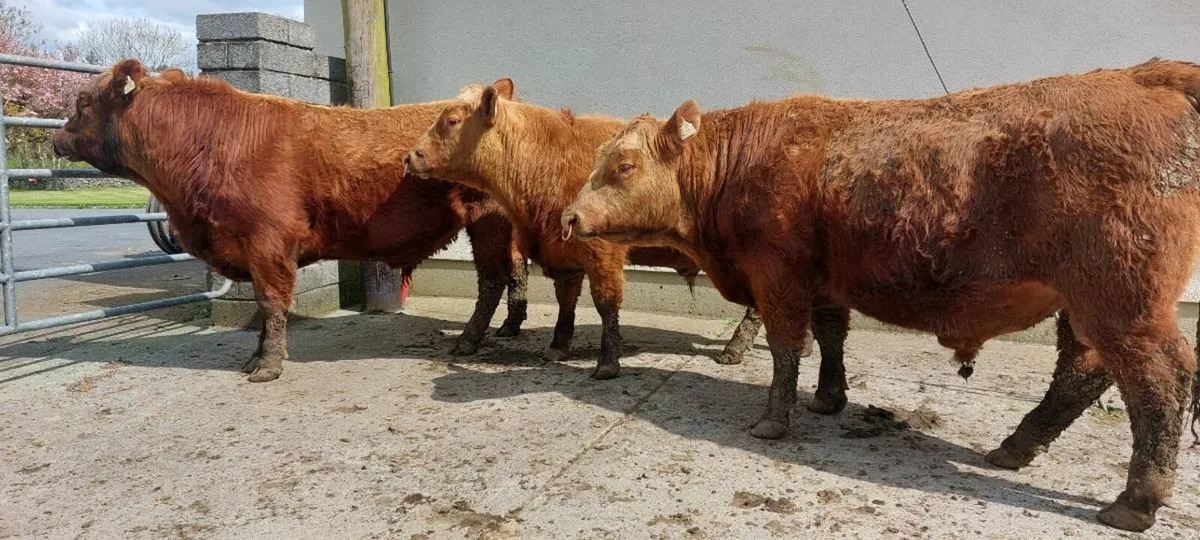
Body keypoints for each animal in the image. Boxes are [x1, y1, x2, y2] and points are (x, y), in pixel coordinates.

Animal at [51, 59, 529, 382]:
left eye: (82, 101)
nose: (56, 139)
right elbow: (265, 310)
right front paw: (255, 357)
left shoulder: (267, 243)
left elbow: (271, 303)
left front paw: (267, 366)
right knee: (514, 272)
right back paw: (507, 329)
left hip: (488, 222)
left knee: (492, 279)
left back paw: (469, 340)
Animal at [403, 80, 850, 417]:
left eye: (452, 119)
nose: (410, 156)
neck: (541, 162)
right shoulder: (564, 251)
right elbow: (567, 300)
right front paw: (558, 345)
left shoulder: (601, 252)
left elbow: (606, 305)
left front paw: (607, 362)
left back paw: (735, 349)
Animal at [560, 58, 1200, 531]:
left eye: (623, 165)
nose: (568, 217)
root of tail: (1144, 74)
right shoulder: (824, 283)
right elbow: (830, 337)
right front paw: (827, 399)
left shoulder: (778, 277)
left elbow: (786, 347)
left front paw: (774, 419)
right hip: (1090, 304)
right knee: (1082, 373)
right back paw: (1016, 447)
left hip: (1122, 301)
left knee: (1158, 382)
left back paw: (1135, 501)